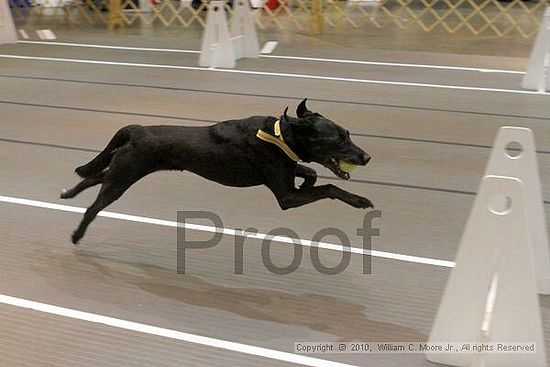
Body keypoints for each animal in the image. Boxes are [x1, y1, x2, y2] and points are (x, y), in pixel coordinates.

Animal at [61, 99, 376, 246]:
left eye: (348, 134)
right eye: (338, 140)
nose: (367, 157)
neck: (281, 136)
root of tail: (136, 130)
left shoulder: (288, 172)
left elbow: (310, 173)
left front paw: (309, 179)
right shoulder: (286, 196)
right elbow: (329, 188)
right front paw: (360, 200)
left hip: (123, 169)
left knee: (93, 176)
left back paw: (68, 192)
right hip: (125, 175)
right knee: (93, 207)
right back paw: (76, 235)